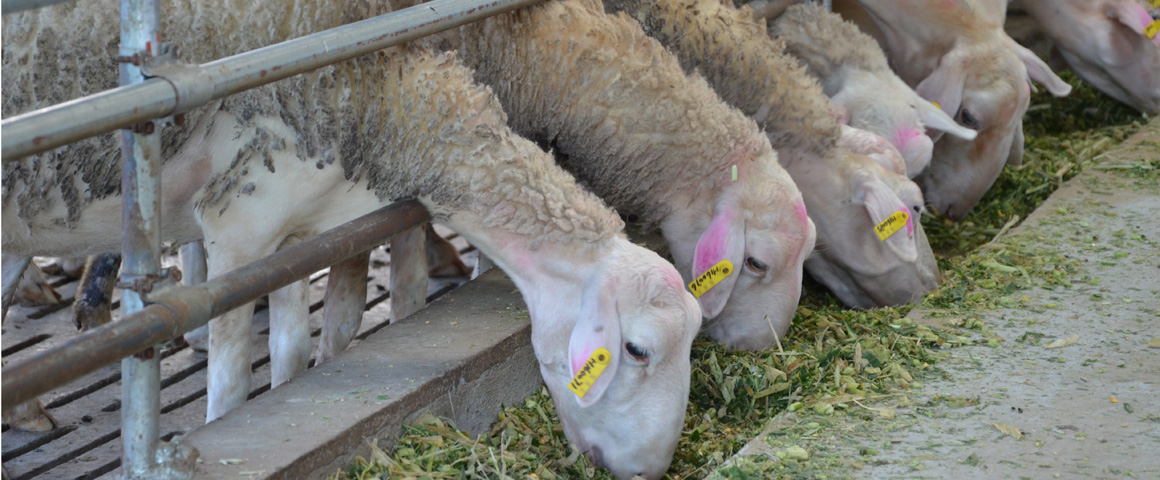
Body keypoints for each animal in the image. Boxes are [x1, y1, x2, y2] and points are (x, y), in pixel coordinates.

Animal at [2, 1, 702, 474]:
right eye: (637, 350)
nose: (650, 470)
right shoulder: (238, 230)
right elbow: (230, 383)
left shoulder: (295, 233)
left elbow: (289, 352)